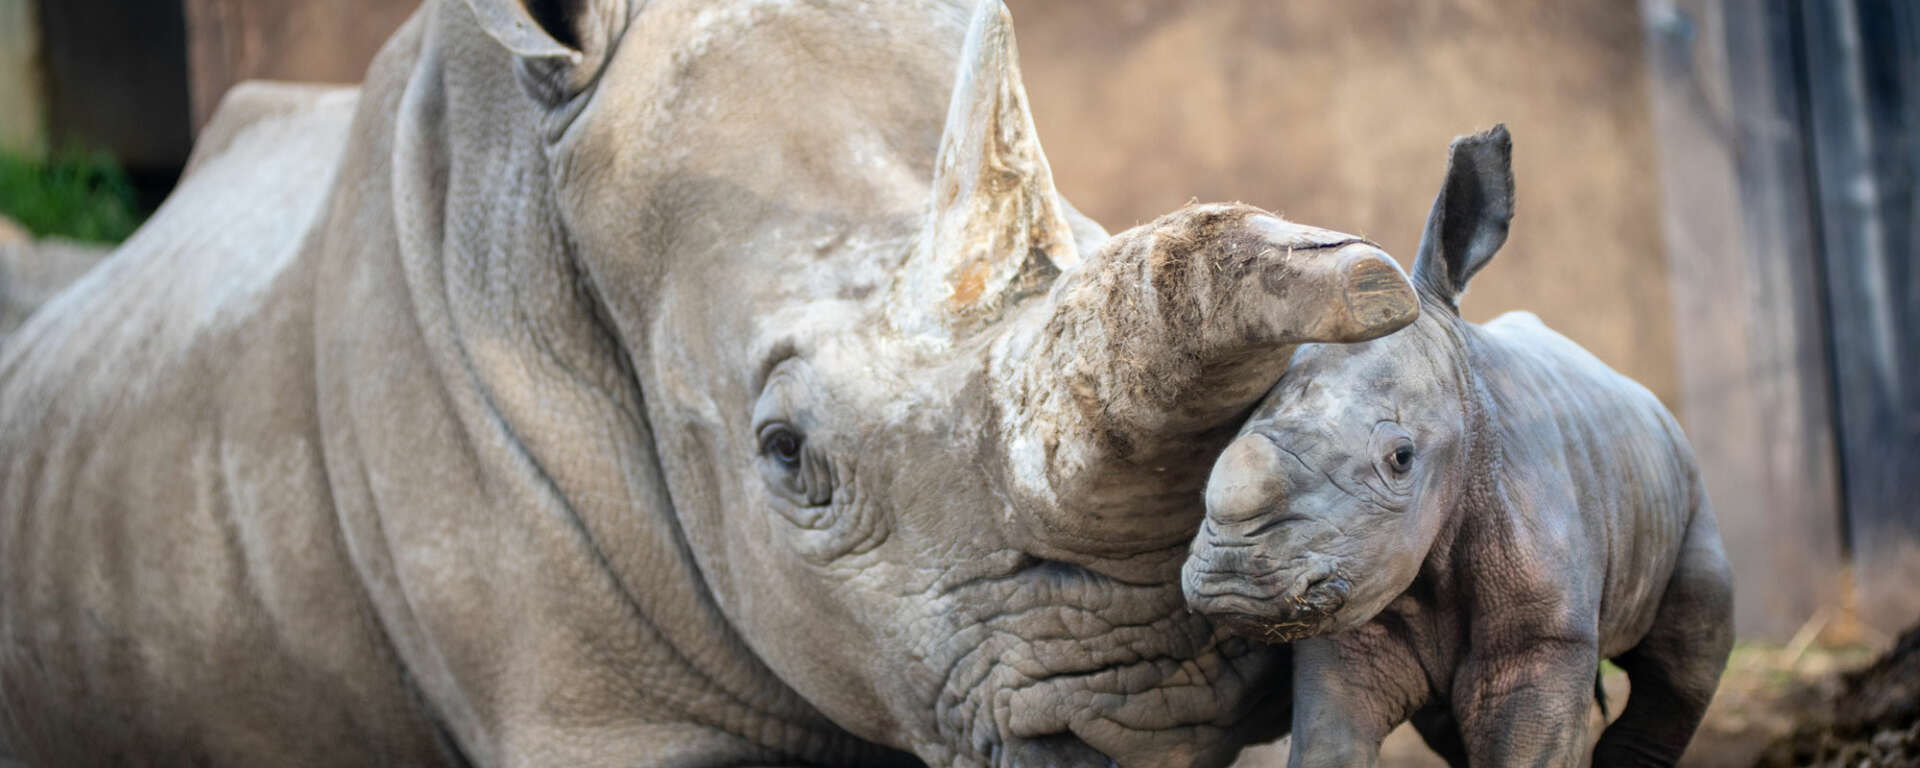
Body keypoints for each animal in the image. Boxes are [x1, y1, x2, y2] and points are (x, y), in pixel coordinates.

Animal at [1181, 126, 1734, 767]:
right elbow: (1329, 742)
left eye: (1401, 459)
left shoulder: (1546, 638)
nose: (1232, 580)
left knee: (1684, 658)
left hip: (1686, 483)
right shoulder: (1347, 615)